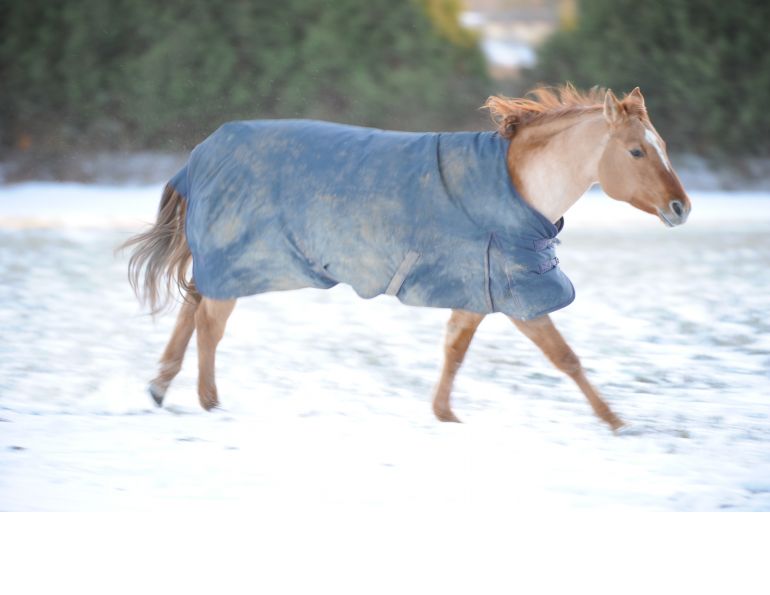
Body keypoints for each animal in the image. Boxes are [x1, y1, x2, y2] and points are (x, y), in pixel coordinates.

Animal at [122, 85, 690, 431]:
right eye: (637, 151)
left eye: (662, 144)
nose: (681, 207)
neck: (513, 187)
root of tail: (203, 153)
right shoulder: (518, 295)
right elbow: (565, 357)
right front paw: (616, 423)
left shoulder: (477, 289)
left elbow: (454, 351)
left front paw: (445, 415)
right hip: (239, 262)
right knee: (209, 324)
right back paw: (208, 400)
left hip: (224, 263)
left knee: (192, 306)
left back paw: (160, 387)